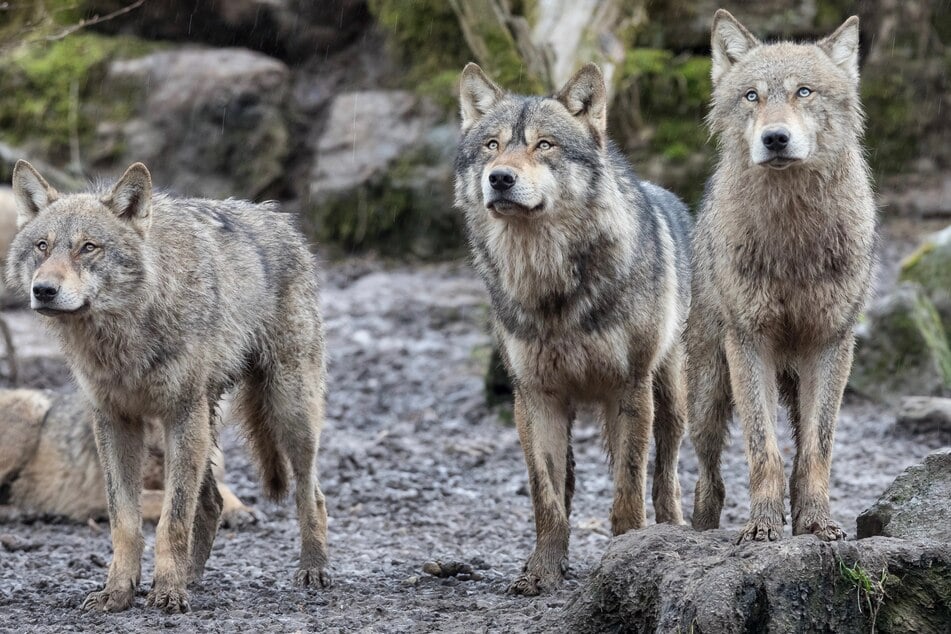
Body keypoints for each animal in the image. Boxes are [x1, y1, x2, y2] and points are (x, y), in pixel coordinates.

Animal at [456, 61, 692, 592]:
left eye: (544, 145)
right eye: (492, 146)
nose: (499, 179)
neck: (551, 286)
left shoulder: (630, 387)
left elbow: (629, 487)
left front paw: (629, 554)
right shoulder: (534, 395)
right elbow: (545, 498)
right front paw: (542, 571)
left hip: (670, 394)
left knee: (666, 473)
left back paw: (673, 531)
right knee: (565, 483)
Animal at [688, 9, 880, 540]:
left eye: (804, 92)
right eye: (752, 95)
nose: (774, 138)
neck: (793, 237)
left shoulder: (831, 343)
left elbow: (816, 449)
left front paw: (816, 523)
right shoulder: (750, 341)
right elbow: (763, 449)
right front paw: (762, 526)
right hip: (708, 394)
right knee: (707, 474)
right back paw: (699, 530)